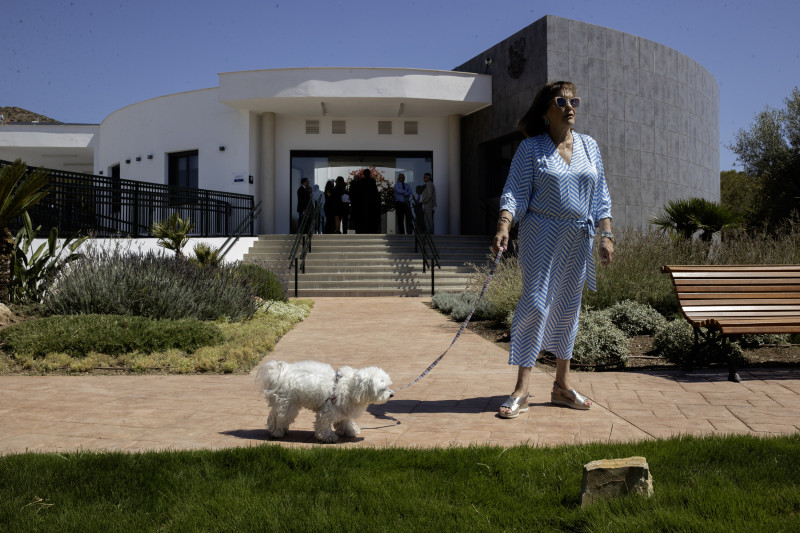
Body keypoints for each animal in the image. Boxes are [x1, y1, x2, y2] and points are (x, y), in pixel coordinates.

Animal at [256, 360, 394, 442]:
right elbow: (324, 425)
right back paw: (277, 432)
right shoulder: (327, 410)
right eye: (382, 389)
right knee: (277, 418)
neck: (351, 388)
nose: (392, 394)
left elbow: (345, 421)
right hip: (287, 404)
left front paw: (350, 430)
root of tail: (279, 373)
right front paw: (328, 437)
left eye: (388, 386)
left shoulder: (343, 409)